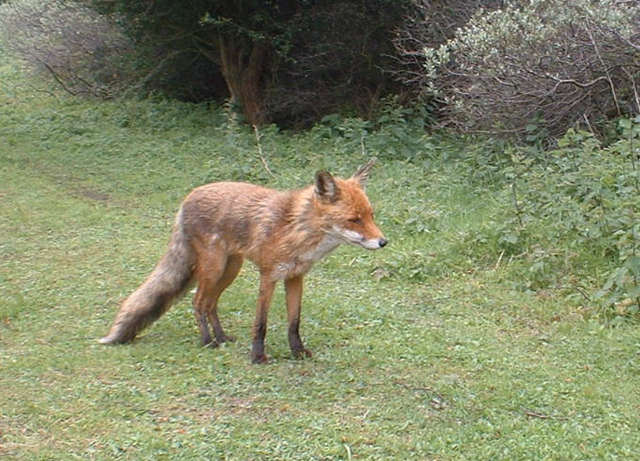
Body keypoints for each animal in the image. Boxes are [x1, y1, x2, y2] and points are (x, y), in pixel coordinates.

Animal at [100, 158, 384, 362]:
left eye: (371, 215)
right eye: (354, 220)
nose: (384, 242)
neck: (296, 228)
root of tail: (187, 197)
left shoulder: (295, 277)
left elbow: (294, 322)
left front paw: (298, 352)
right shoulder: (268, 275)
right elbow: (261, 323)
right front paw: (257, 356)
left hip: (230, 269)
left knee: (210, 304)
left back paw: (222, 337)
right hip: (213, 267)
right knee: (197, 302)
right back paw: (208, 342)